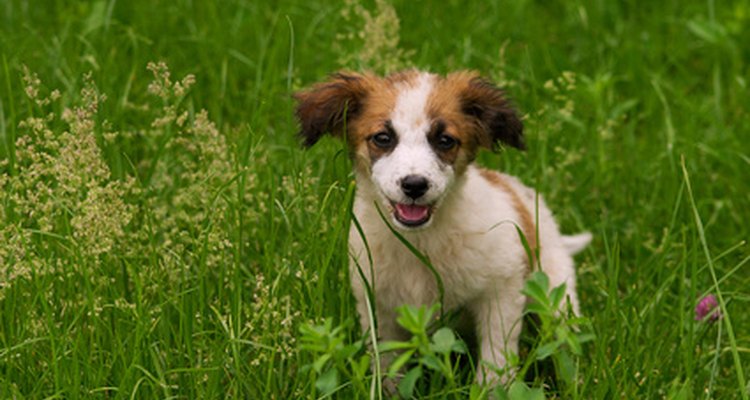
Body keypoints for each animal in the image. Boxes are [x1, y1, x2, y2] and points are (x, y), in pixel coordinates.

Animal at [296, 69, 592, 384]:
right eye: (383, 138)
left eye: (446, 140)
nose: (415, 185)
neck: (421, 242)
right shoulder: (376, 303)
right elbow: (388, 363)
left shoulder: (502, 289)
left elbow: (496, 359)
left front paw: (491, 389)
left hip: (556, 297)